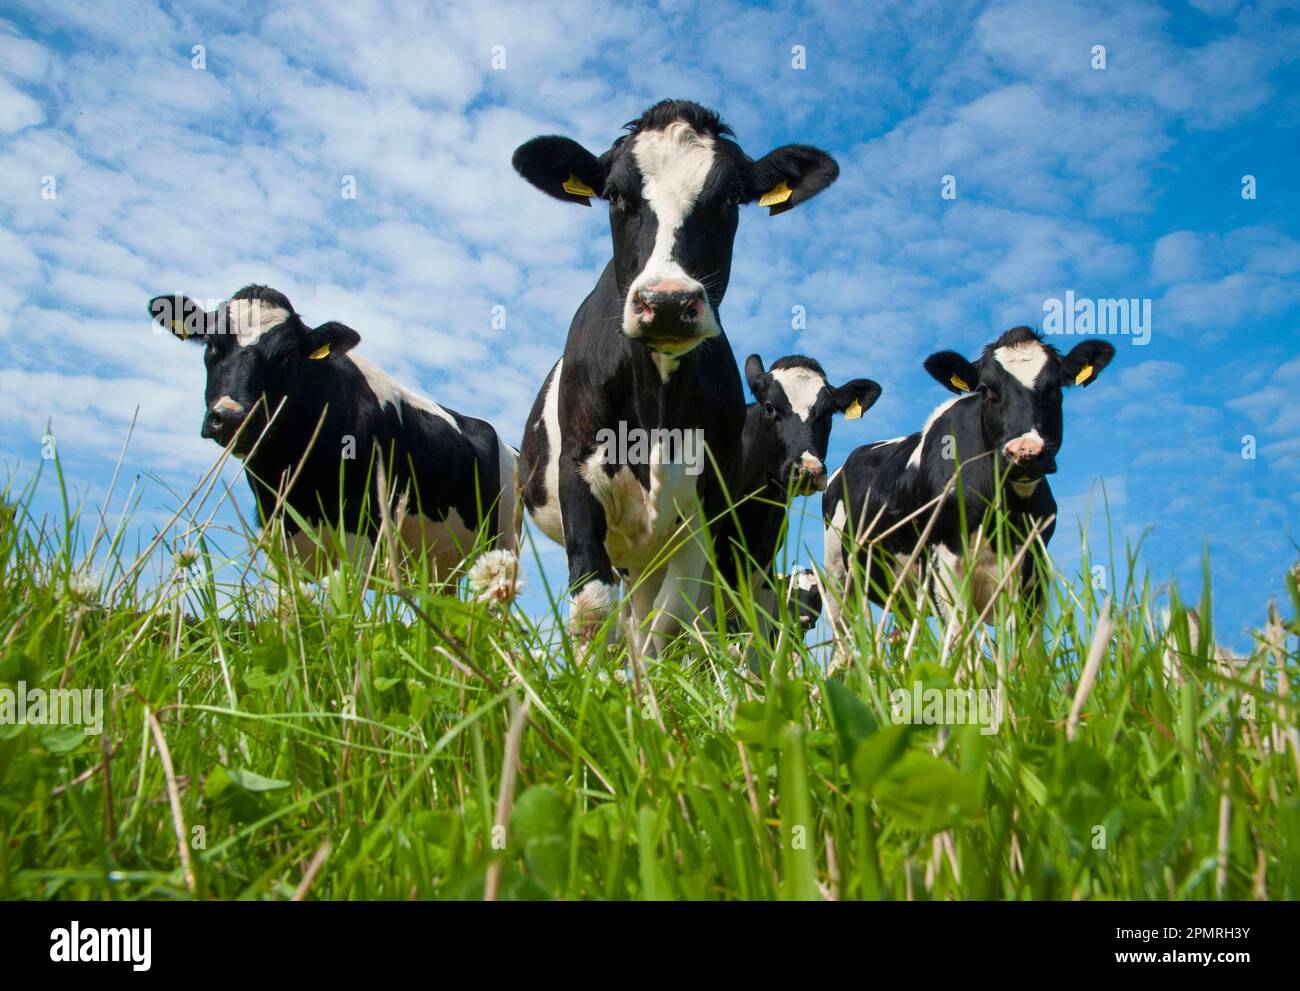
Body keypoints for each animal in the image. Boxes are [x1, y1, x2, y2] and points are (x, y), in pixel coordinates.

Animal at [148, 285, 519, 580]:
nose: (231, 417)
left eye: (286, 356)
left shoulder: (358, 534)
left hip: (502, 545)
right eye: (212, 345)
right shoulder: (278, 538)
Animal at [513, 99, 839, 654]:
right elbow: (592, 610)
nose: (666, 303)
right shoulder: (578, 473)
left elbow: (670, 622)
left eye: (730, 198)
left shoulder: (709, 510)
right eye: (615, 195)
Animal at [822, 326, 1114, 638]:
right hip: (838, 573)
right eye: (986, 390)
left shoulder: (1033, 570)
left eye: (1056, 388)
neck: (1005, 506)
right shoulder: (946, 564)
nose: (1025, 452)